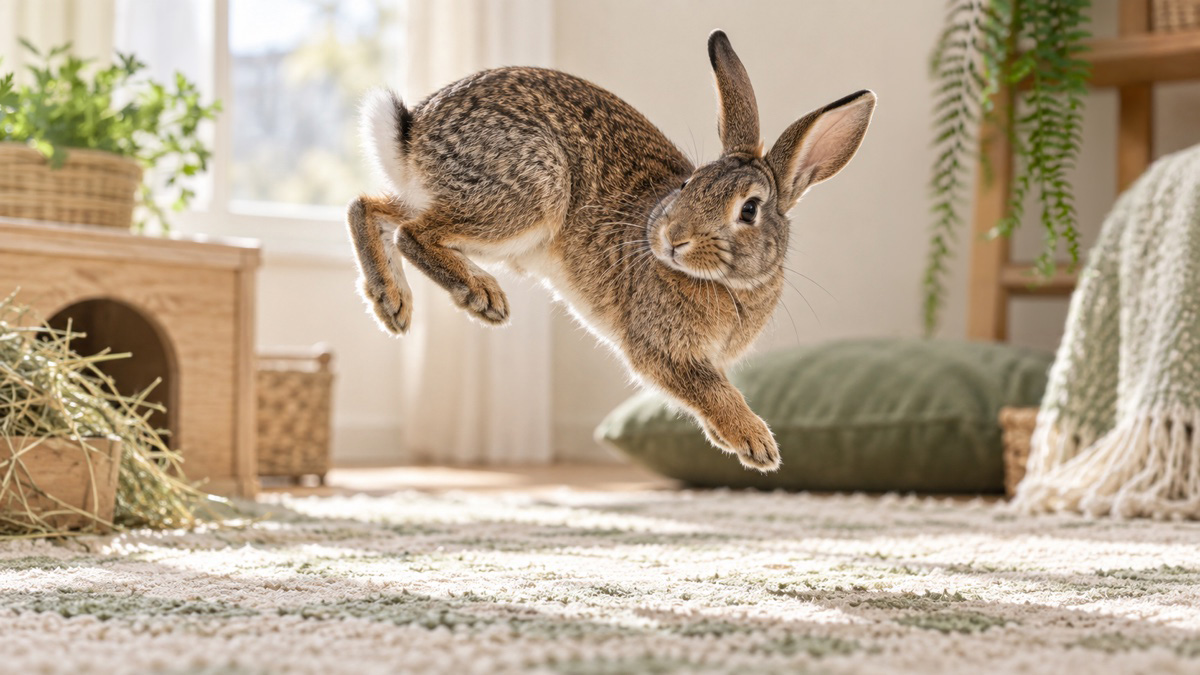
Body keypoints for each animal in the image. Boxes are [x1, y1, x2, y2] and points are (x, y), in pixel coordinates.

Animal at [347, 30, 875, 471]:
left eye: (749, 210)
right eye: (688, 184)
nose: (673, 237)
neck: (726, 283)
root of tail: (413, 130)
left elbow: (706, 394)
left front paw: (729, 440)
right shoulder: (659, 348)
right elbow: (711, 390)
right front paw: (757, 444)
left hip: (464, 197)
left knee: (369, 207)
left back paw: (392, 304)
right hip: (529, 192)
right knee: (413, 233)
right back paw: (481, 295)